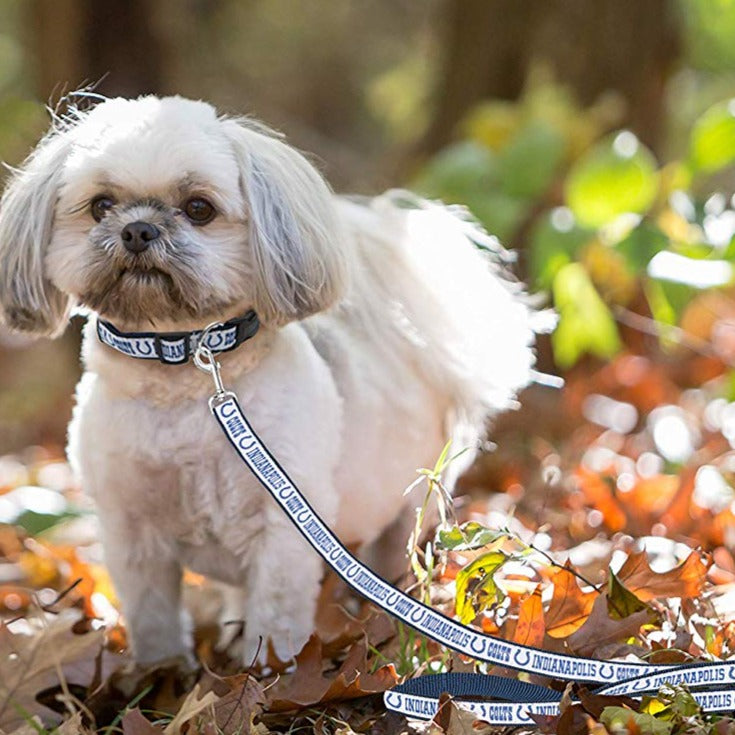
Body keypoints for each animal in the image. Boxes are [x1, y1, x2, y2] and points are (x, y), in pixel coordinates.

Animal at [0, 96, 540, 668]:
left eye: (199, 208)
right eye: (101, 205)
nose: (138, 230)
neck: (183, 375)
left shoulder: (283, 529)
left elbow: (276, 621)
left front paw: (266, 676)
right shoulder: (132, 533)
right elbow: (154, 619)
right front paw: (161, 674)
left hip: (411, 502)